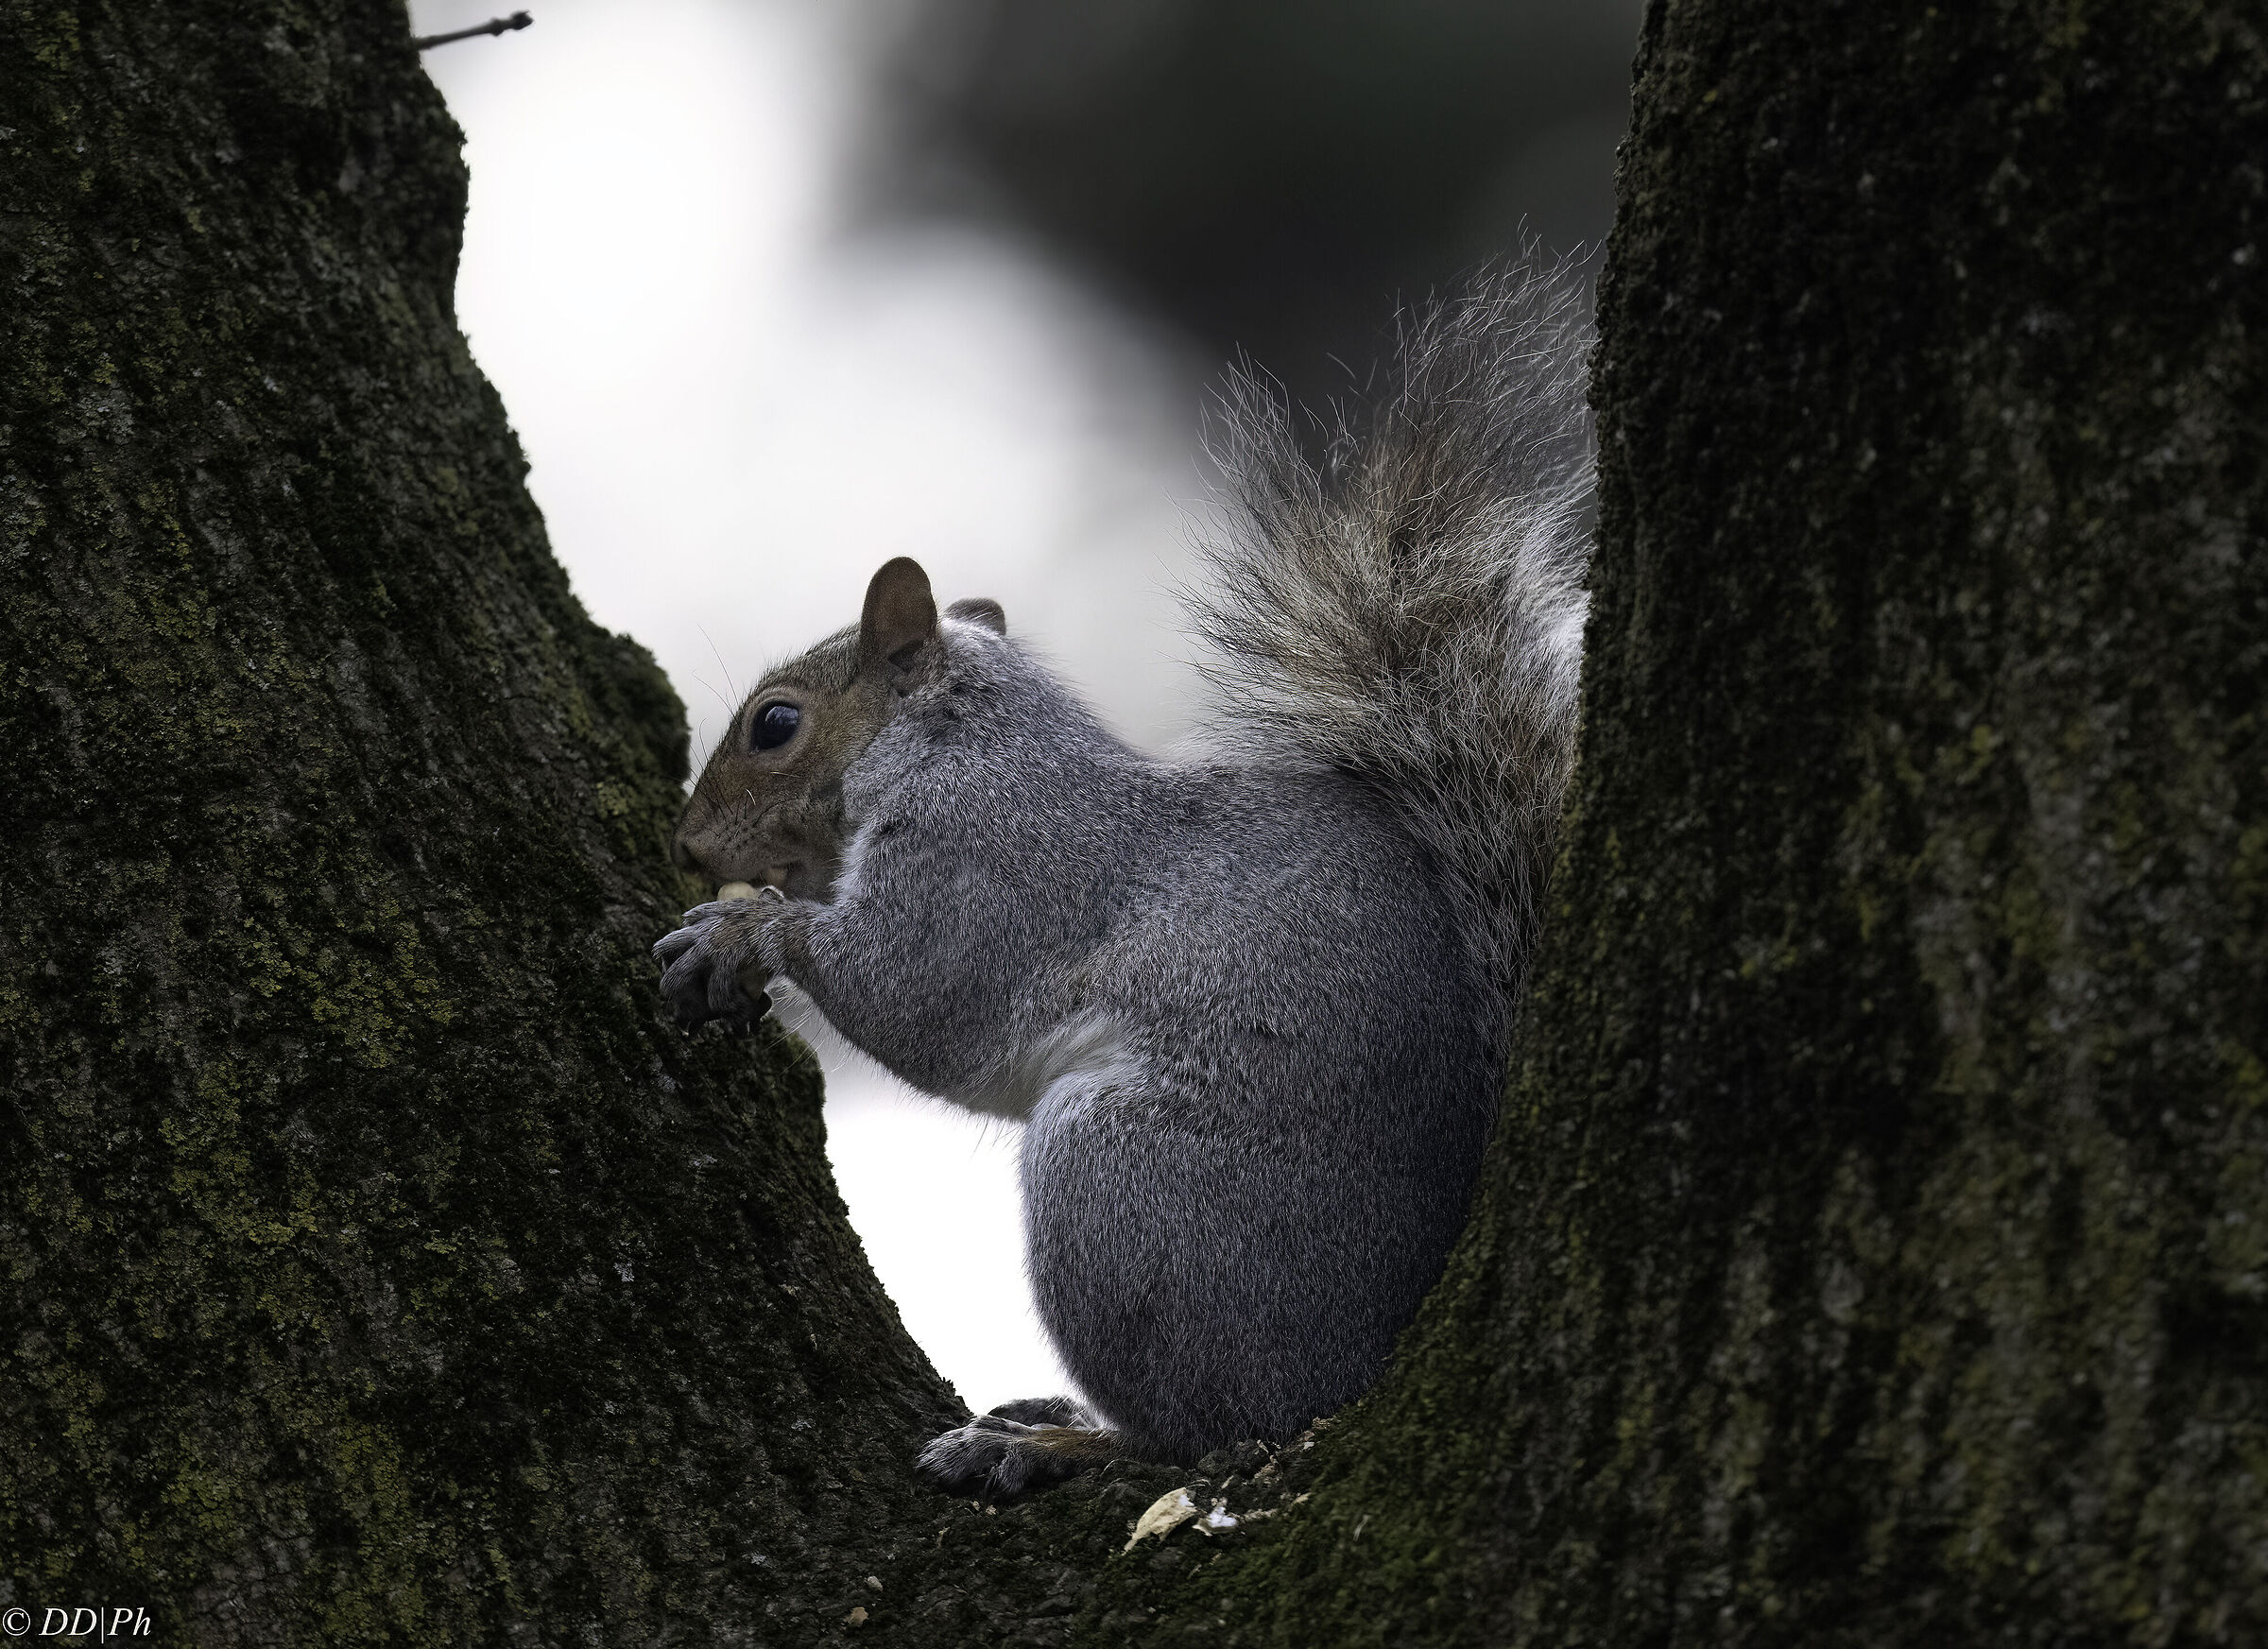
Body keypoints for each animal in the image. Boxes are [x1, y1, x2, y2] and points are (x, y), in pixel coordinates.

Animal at [653, 263, 1593, 1497]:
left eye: (775, 724)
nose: (689, 844)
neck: (961, 740)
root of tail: (1366, 1355)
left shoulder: (988, 861)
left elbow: (914, 993)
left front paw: (742, 932)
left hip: (1122, 1191)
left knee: (1199, 1430)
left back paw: (1049, 1439)